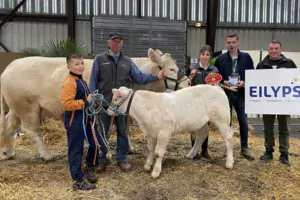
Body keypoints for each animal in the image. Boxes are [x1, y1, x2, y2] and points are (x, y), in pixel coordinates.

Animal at [0, 48, 188, 161]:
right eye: (171, 69)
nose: (188, 82)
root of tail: (9, 67)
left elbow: (125, 129)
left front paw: (128, 147)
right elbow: (107, 130)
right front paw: (109, 152)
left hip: (16, 107)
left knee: (9, 125)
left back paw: (8, 151)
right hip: (27, 106)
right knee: (30, 130)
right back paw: (46, 155)